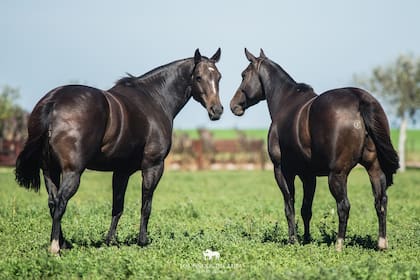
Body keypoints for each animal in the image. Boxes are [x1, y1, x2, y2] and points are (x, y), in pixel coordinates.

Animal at [14, 48, 223, 254]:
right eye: (198, 77)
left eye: (218, 77)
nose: (217, 110)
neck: (155, 99)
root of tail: (53, 101)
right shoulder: (153, 166)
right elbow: (146, 206)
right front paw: (142, 241)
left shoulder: (122, 171)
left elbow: (117, 206)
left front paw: (110, 241)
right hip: (72, 172)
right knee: (60, 203)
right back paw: (55, 247)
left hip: (50, 170)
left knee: (52, 202)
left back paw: (64, 243)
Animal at [231, 48, 398, 252]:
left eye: (243, 75)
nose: (234, 105)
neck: (285, 102)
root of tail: (360, 100)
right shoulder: (308, 175)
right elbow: (306, 209)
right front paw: (306, 239)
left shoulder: (282, 171)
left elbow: (289, 206)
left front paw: (293, 240)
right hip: (374, 169)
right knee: (380, 201)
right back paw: (381, 243)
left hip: (337, 174)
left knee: (344, 206)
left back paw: (339, 244)